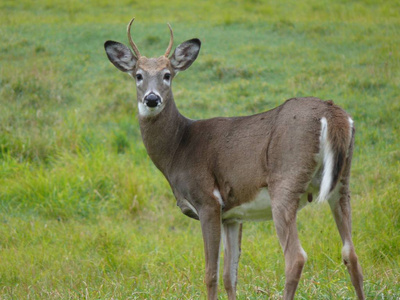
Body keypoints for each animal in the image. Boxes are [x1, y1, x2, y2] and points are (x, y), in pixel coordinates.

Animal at [104, 18, 366, 300]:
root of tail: (333, 114)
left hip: (286, 181)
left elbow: (211, 274)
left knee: (295, 257)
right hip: (342, 182)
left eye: (167, 75)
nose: (152, 98)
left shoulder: (208, 201)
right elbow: (230, 275)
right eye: (138, 75)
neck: (178, 148)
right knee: (351, 252)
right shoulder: (232, 215)